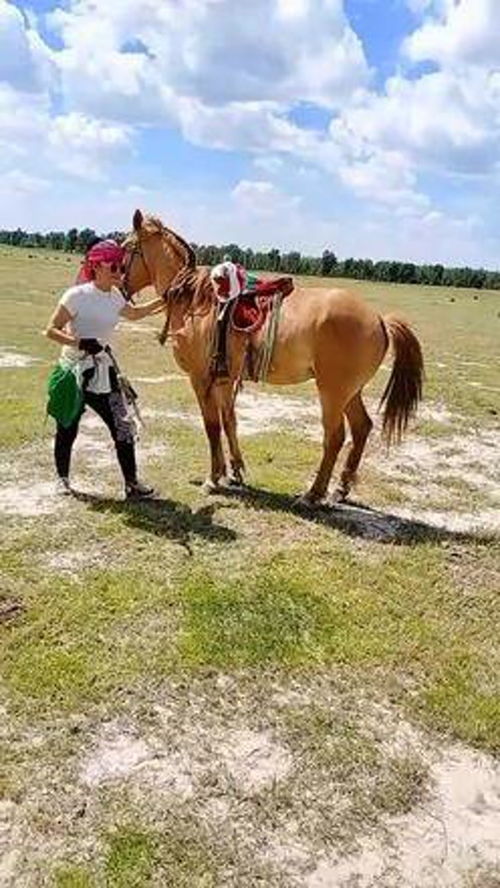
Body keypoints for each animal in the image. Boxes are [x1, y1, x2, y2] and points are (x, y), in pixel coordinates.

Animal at [122, 210, 424, 504]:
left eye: (125, 248)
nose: (119, 285)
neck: (197, 301)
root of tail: (380, 319)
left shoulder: (201, 378)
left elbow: (212, 427)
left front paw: (214, 478)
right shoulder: (224, 379)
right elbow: (229, 421)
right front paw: (235, 472)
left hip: (333, 391)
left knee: (335, 436)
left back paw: (314, 494)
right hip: (350, 392)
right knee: (361, 428)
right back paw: (340, 489)